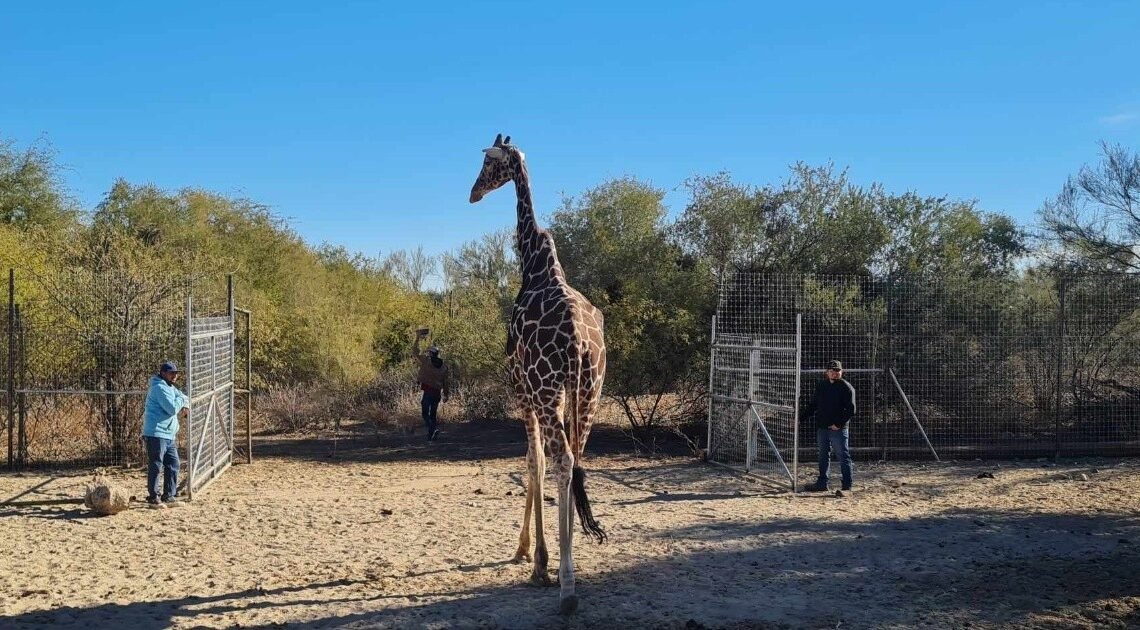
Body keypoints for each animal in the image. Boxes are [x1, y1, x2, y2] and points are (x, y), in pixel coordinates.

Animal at [469, 133, 607, 615]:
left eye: (487, 164)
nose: (473, 193)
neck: (533, 265)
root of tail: (580, 342)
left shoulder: (522, 388)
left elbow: (534, 461)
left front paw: (532, 556)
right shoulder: (558, 392)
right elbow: (545, 463)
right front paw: (541, 554)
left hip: (547, 390)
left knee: (561, 459)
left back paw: (566, 586)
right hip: (589, 391)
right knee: (576, 460)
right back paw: (571, 572)